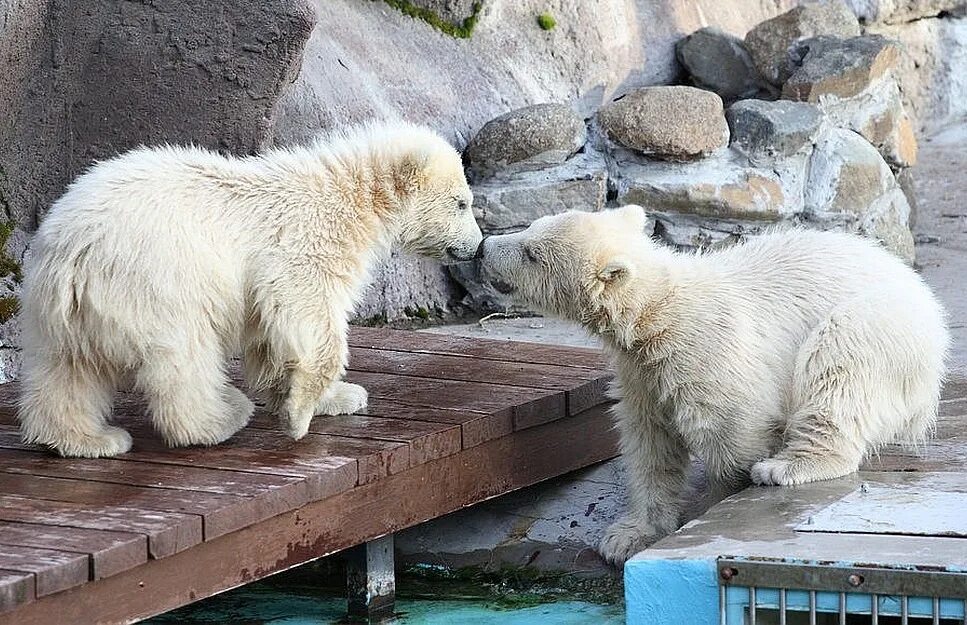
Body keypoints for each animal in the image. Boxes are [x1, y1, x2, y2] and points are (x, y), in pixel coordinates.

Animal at [15, 120, 484, 458]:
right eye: (462, 202)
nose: (477, 246)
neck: (351, 192)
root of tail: (72, 254)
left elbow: (274, 335)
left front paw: (336, 397)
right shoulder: (307, 242)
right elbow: (308, 313)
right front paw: (300, 415)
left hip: (64, 309)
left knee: (67, 368)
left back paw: (84, 439)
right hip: (157, 280)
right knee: (184, 357)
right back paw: (218, 419)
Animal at [480, 206, 948, 564]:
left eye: (531, 252)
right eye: (531, 227)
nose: (484, 248)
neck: (658, 314)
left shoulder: (707, 351)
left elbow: (732, 435)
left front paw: (710, 506)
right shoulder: (641, 374)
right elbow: (650, 445)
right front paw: (627, 536)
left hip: (878, 325)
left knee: (838, 365)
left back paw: (787, 466)